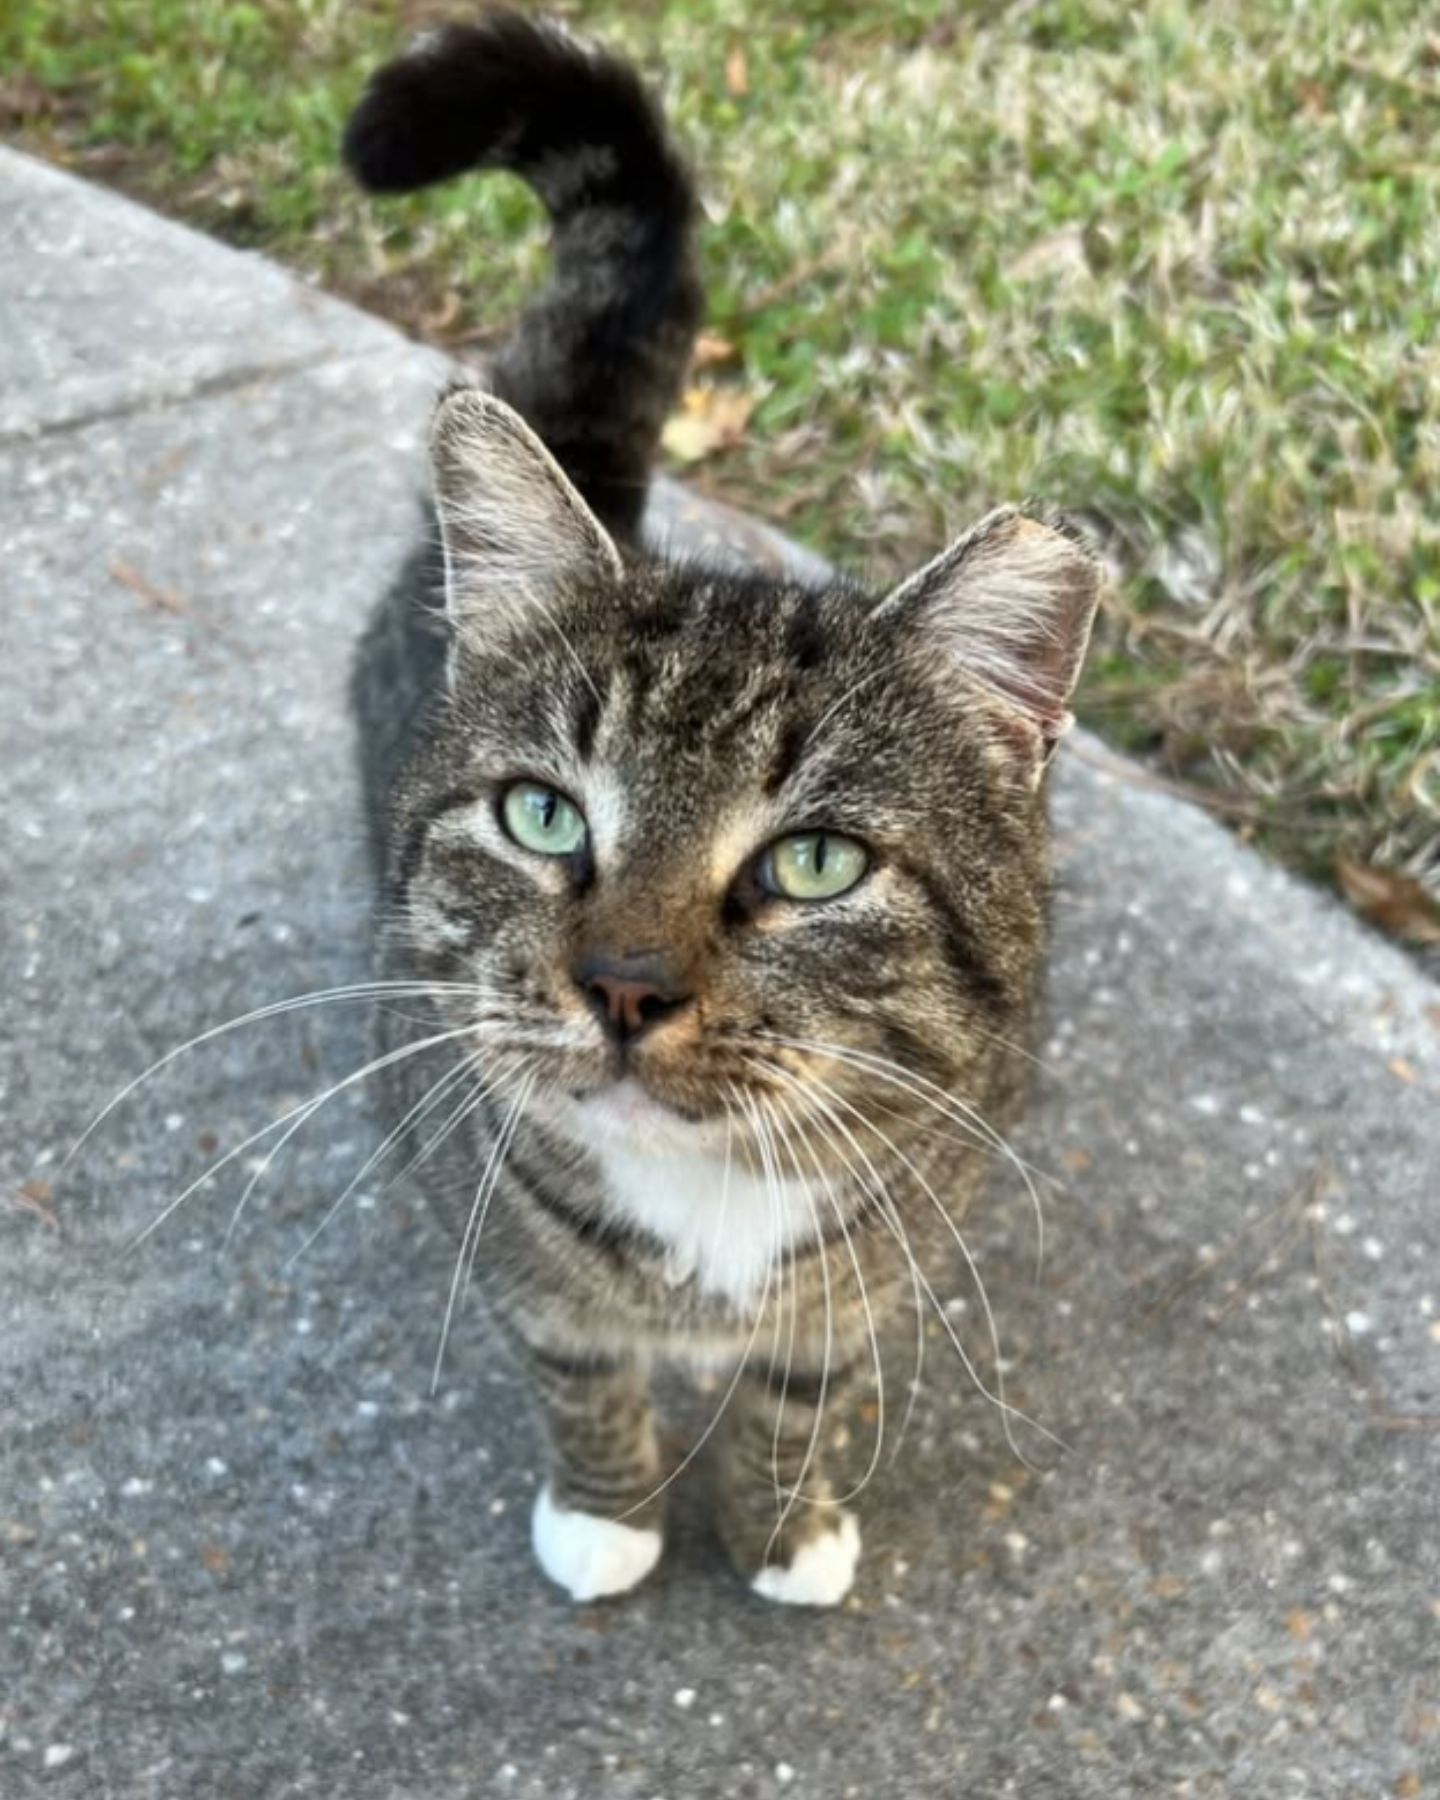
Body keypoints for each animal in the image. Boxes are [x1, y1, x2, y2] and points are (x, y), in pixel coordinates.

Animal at [343, 10, 1094, 1620]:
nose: (625, 987)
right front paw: (607, 1516)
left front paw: (784, 1526)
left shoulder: (872, 1268)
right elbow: (578, 1371)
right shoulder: (527, 1270)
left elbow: (801, 1392)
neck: (708, 1209)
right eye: (543, 818)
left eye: (814, 862)